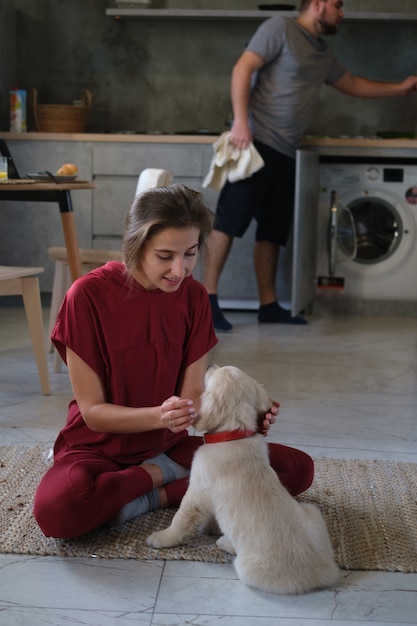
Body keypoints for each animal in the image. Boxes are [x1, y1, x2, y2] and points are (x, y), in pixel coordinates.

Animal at [146, 364, 338, 592]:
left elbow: (181, 518)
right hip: (312, 511)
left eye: (213, 374)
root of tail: (324, 571)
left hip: (247, 569)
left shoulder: (198, 491)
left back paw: (225, 543)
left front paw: (161, 538)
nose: (210, 365)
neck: (232, 435)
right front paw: (210, 527)